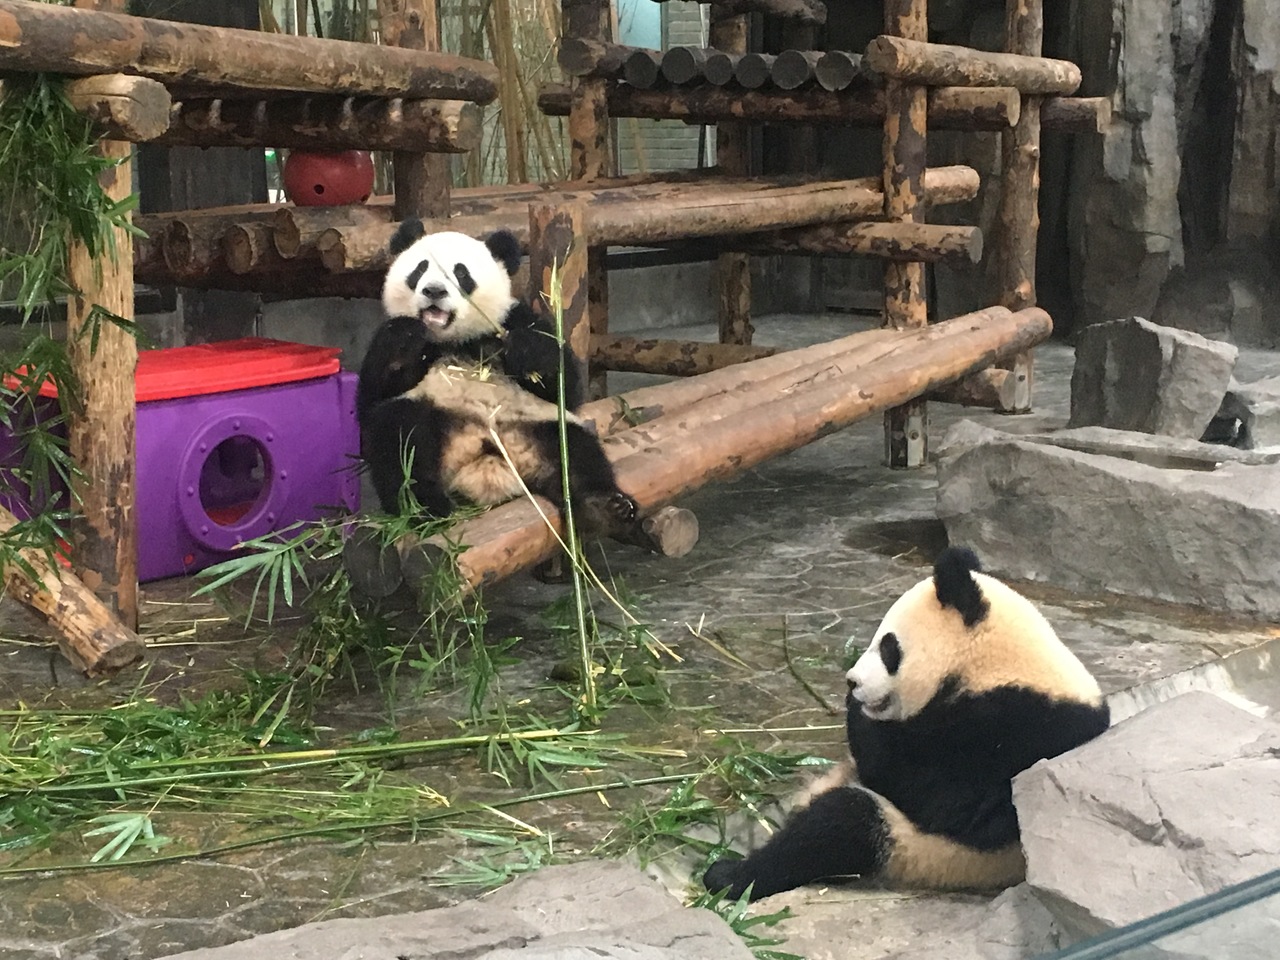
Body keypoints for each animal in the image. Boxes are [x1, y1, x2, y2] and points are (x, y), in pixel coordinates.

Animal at [355, 220, 640, 542]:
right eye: (420, 268)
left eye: (461, 273)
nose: (434, 291)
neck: (455, 341)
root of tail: (486, 465)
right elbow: (371, 398)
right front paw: (406, 339)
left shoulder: (513, 319)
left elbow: (566, 389)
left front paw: (527, 352)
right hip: (434, 420)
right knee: (400, 440)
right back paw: (427, 506)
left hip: (537, 426)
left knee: (576, 453)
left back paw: (607, 508)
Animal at [701, 547, 1111, 901]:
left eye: (888, 646)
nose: (852, 681)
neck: (997, 666)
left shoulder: (1014, 731)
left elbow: (938, 795)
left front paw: (860, 714)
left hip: (924, 855)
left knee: (840, 827)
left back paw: (727, 875)